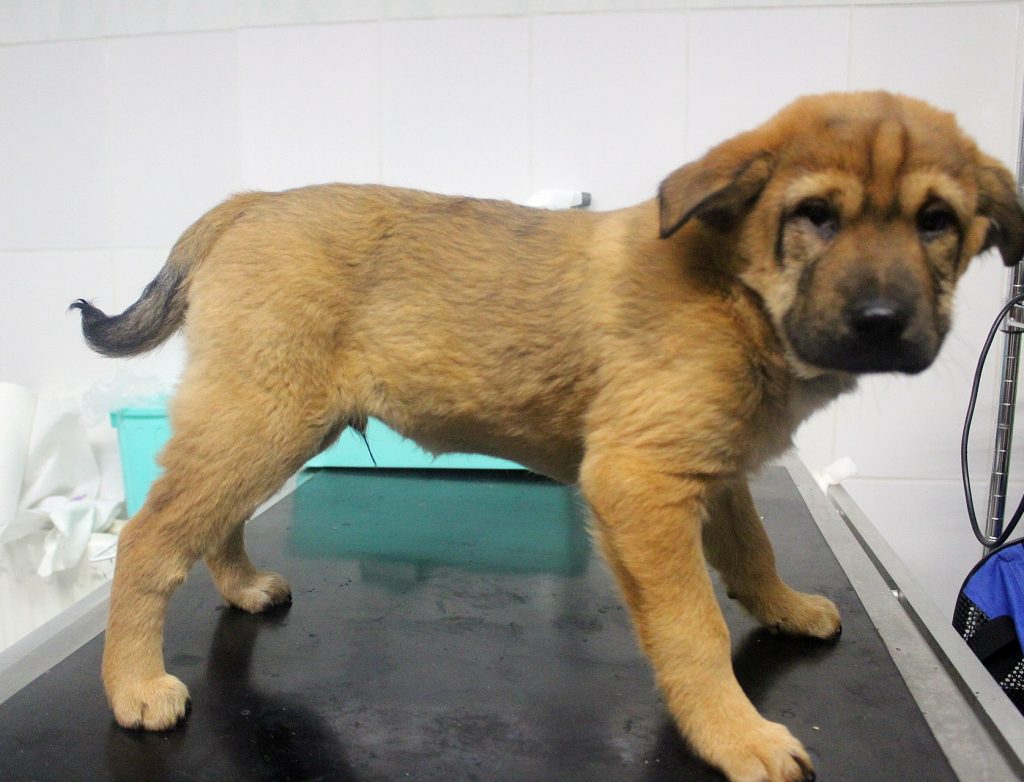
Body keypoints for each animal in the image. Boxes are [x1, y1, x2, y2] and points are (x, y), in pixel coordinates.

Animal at [72, 91, 1024, 782]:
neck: (735, 289)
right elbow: (694, 630)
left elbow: (753, 552)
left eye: (937, 222)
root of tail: (249, 204)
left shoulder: (710, 471)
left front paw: (785, 609)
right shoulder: (643, 484)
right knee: (149, 538)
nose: (882, 322)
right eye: (816, 215)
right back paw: (133, 686)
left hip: (261, 419)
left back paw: (240, 586)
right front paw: (733, 734)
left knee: (210, 519)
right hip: (263, 418)